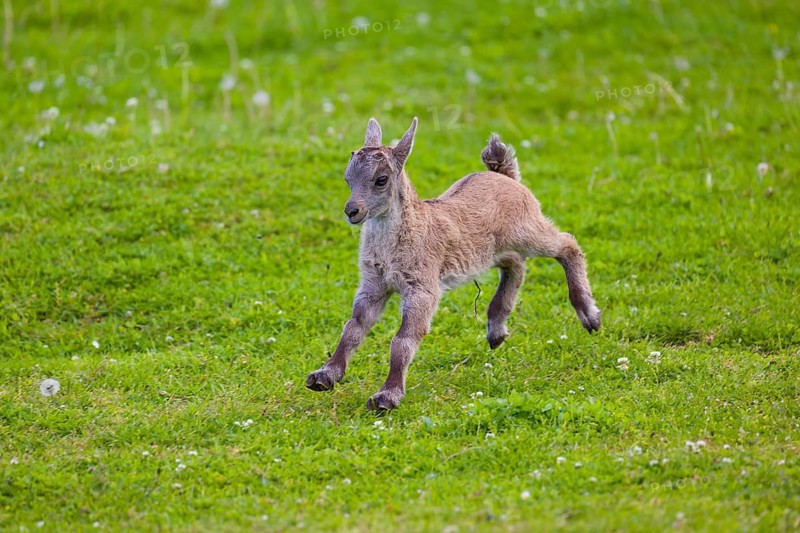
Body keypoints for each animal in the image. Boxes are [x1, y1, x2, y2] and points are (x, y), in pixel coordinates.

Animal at [306, 117, 601, 411]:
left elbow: (402, 340)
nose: (352, 211)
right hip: (492, 250)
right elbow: (353, 327)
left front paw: (386, 397)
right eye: (347, 178)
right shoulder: (373, 284)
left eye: (381, 179)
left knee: (566, 244)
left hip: (526, 230)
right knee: (516, 265)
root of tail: (506, 175)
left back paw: (590, 316)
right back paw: (496, 331)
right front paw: (324, 377)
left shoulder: (421, 286)